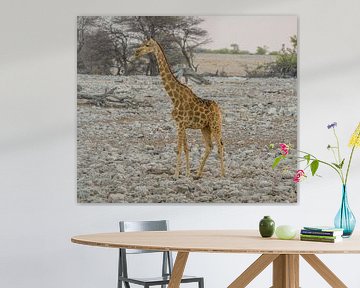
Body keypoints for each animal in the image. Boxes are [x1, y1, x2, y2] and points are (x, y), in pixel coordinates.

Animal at [135, 38, 225, 178]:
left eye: (147, 45)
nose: (136, 52)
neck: (174, 97)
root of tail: (218, 109)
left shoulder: (181, 124)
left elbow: (179, 149)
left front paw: (176, 174)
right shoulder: (182, 125)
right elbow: (186, 148)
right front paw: (187, 173)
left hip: (215, 124)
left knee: (220, 144)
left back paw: (222, 174)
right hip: (205, 127)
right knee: (210, 146)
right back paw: (198, 173)